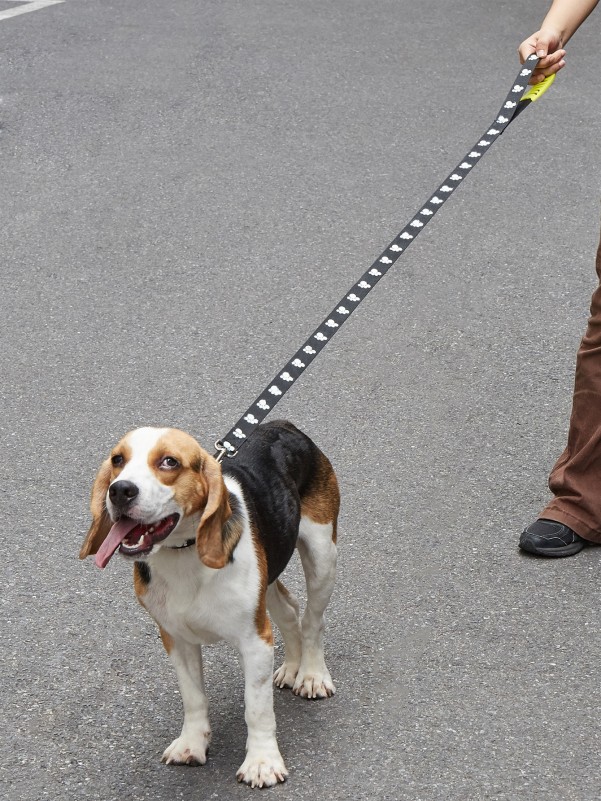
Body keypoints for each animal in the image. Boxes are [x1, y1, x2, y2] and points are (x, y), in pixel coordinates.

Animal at [81, 418, 338, 788]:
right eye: (118, 460)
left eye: (169, 462)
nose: (120, 490)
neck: (183, 552)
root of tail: (281, 424)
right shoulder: (176, 638)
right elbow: (193, 697)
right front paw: (192, 744)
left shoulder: (254, 640)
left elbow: (257, 708)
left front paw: (262, 762)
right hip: (269, 575)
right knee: (290, 611)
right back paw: (292, 667)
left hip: (322, 556)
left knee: (313, 620)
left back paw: (312, 675)